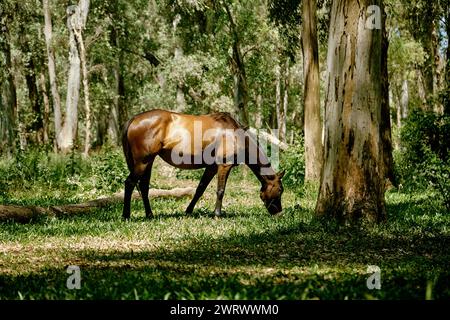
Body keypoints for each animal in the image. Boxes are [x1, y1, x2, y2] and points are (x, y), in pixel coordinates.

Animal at [122, 109, 284, 219]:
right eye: (280, 190)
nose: (279, 213)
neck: (234, 134)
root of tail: (134, 119)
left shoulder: (211, 168)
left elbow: (200, 189)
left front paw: (188, 211)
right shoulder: (224, 165)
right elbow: (220, 190)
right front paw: (217, 214)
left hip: (148, 162)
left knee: (143, 187)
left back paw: (149, 214)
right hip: (142, 162)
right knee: (130, 183)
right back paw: (126, 215)